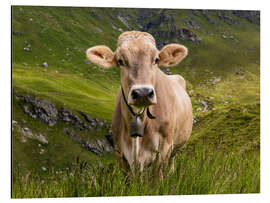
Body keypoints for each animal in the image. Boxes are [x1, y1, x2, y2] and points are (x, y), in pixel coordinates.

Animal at [85, 30, 193, 175]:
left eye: (156, 59)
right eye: (120, 61)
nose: (143, 93)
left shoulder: (163, 149)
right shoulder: (120, 152)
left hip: (175, 147)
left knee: (172, 162)